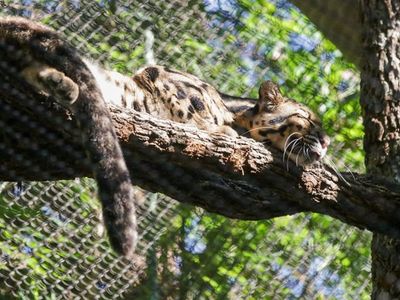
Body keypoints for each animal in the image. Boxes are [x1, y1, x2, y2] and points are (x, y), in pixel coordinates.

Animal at [0, 15, 330, 255]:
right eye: (308, 119)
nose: (326, 142)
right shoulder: (163, 75)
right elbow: (195, 106)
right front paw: (219, 128)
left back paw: (59, 85)